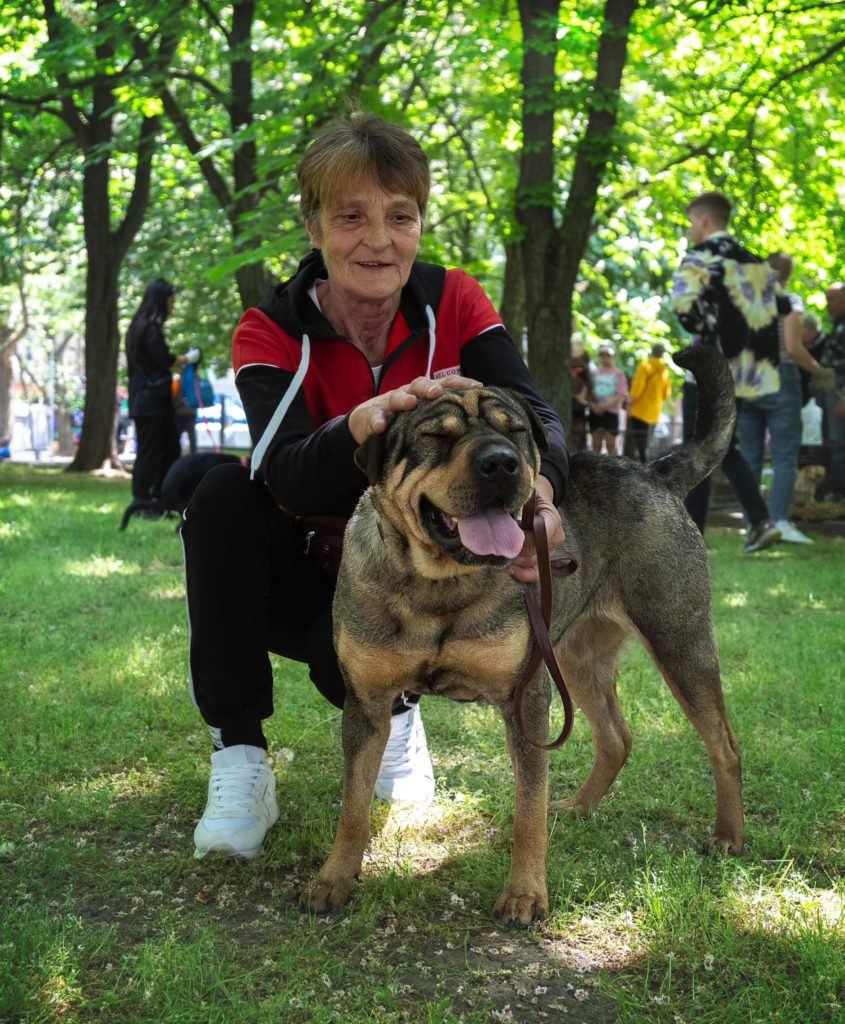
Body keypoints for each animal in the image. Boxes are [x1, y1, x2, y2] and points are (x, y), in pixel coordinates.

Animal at [299, 346, 741, 929]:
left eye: (515, 433)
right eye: (436, 437)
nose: (501, 462)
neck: (438, 584)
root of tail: (653, 471)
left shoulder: (527, 698)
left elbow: (528, 810)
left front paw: (526, 894)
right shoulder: (368, 704)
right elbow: (353, 806)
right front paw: (334, 879)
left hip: (679, 642)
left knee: (724, 746)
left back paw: (729, 836)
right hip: (578, 659)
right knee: (617, 738)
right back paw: (579, 807)